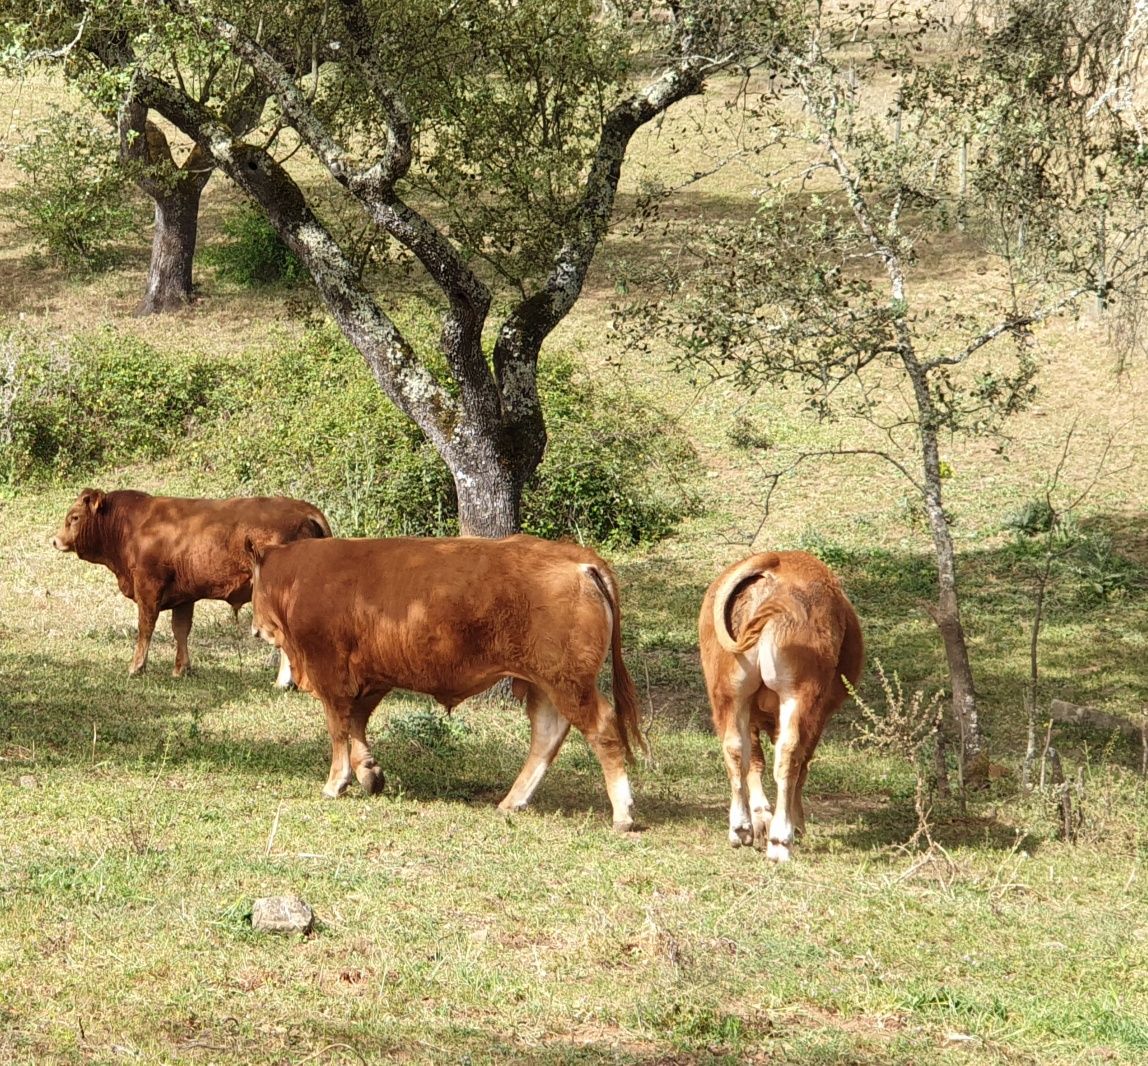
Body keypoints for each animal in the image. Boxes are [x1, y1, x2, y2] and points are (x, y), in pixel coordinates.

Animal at [53, 488, 332, 679]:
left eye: (74, 517)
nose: (55, 540)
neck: (132, 526)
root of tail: (304, 509)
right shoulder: (184, 596)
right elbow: (181, 629)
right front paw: (181, 668)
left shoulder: (148, 587)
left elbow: (145, 627)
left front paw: (136, 666)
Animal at [246, 537, 642, 826]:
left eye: (252, 583)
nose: (255, 629)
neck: (301, 577)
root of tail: (578, 558)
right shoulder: (371, 678)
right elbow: (356, 723)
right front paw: (369, 773)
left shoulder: (331, 675)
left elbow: (338, 729)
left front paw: (335, 782)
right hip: (546, 684)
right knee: (547, 734)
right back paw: (512, 801)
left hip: (568, 683)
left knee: (601, 728)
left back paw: (622, 814)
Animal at [697, 553, 863, 862]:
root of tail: (773, 561)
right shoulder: (820, 714)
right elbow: (800, 765)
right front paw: (795, 824)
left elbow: (754, 760)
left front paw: (761, 818)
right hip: (800, 694)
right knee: (789, 755)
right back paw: (780, 839)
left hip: (728, 693)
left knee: (735, 749)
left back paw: (741, 827)